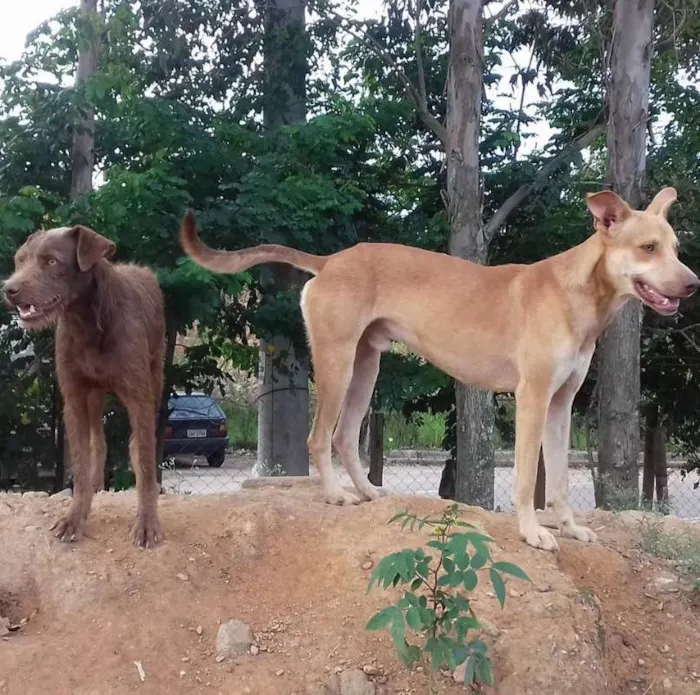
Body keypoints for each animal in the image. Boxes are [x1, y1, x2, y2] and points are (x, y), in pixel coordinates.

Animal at [3, 226, 164, 548]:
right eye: (20, 260)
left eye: (51, 261)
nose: (8, 289)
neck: (87, 322)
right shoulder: (74, 398)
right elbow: (79, 461)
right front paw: (74, 518)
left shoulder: (138, 397)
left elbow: (145, 461)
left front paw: (146, 524)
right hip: (94, 396)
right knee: (98, 442)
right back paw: (96, 486)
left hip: (156, 379)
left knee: (138, 445)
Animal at [182, 188, 700, 552]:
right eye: (648, 247)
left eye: (676, 248)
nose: (693, 284)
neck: (578, 293)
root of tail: (331, 261)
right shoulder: (532, 397)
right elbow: (525, 479)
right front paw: (532, 532)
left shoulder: (560, 405)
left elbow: (556, 480)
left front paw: (569, 527)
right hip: (337, 363)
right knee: (318, 437)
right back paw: (335, 495)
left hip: (365, 367)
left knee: (344, 437)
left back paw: (368, 493)